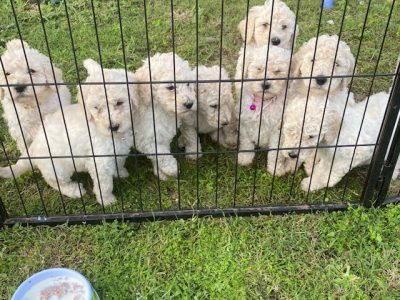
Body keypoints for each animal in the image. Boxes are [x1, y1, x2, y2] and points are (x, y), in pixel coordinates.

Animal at [0, 58, 136, 205]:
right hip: (57, 168)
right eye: (96, 108)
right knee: (55, 182)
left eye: (119, 103)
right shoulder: (99, 162)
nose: (113, 127)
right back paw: (74, 190)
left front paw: (121, 173)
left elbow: (119, 162)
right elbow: (104, 184)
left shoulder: (119, 150)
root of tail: (32, 150)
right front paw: (107, 201)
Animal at [133, 51, 197, 179]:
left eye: (188, 83)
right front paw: (171, 169)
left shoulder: (163, 134)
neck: (161, 109)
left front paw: (161, 171)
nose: (189, 104)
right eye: (170, 87)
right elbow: (161, 154)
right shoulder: (145, 138)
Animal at [234, 45, 290, 175]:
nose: (266, 84)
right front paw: (245, 158)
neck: (263, 101)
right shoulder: (245, 123)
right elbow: (246, 142)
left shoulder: (277, 130)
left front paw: (276, 168)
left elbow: (275, 152)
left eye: (277, 71)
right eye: (259, 69)